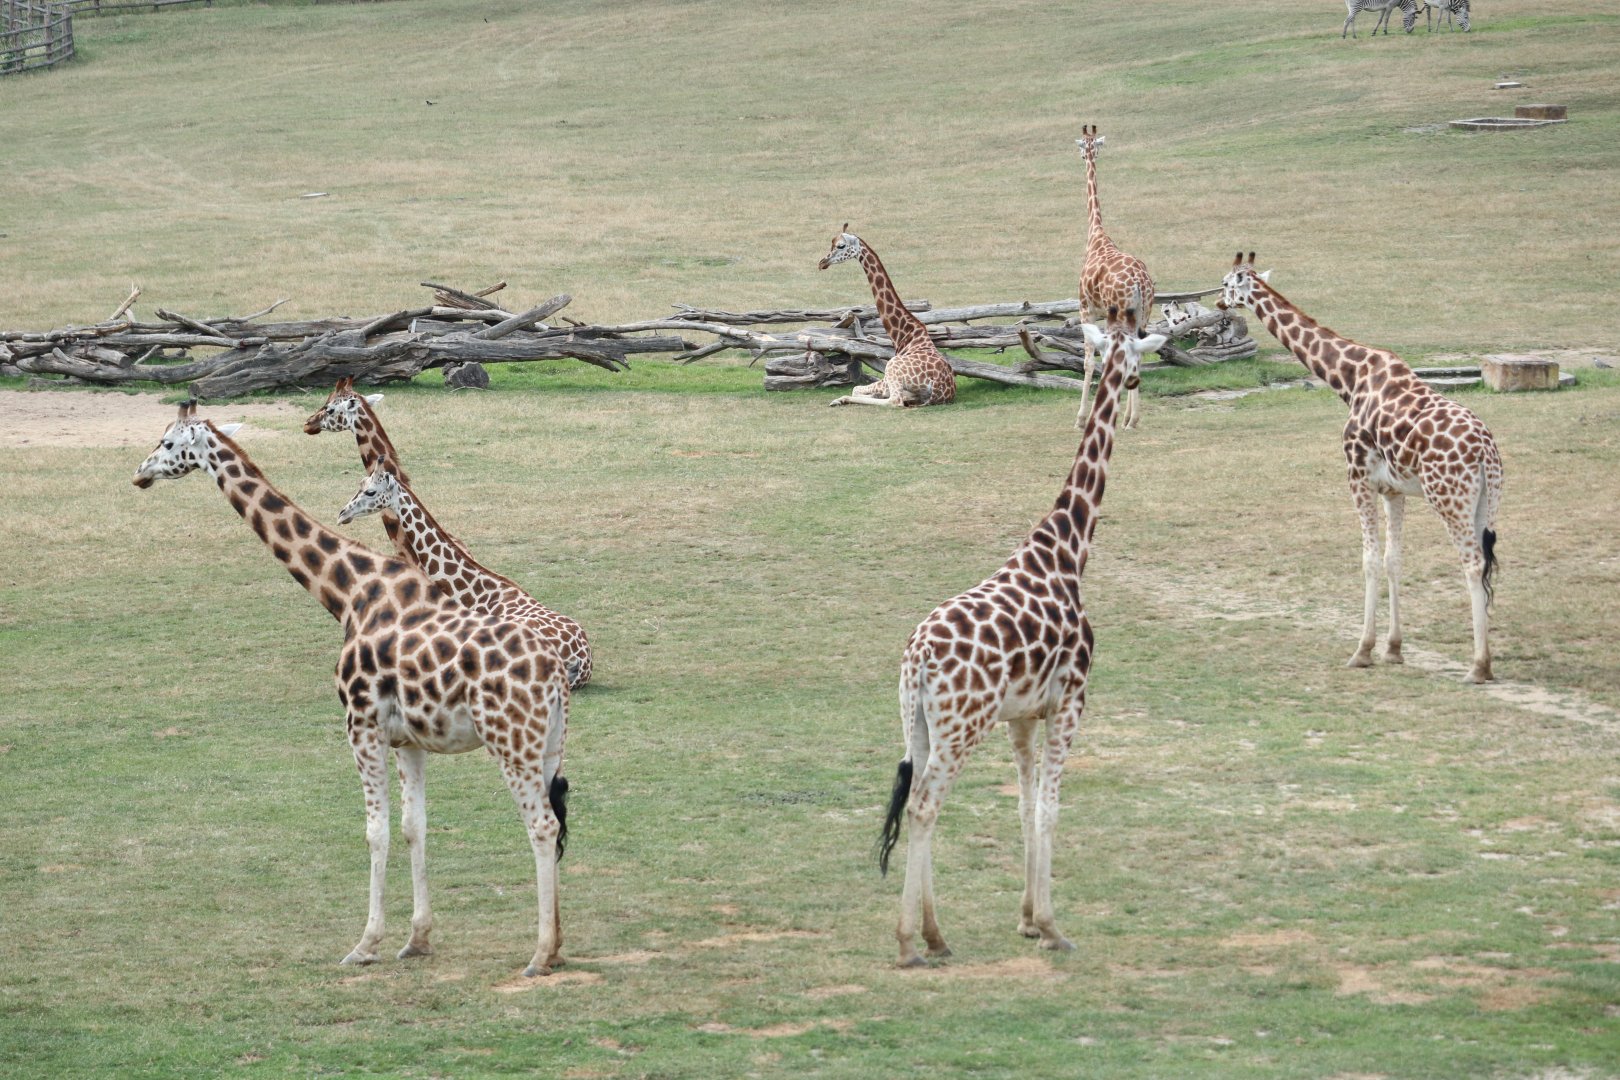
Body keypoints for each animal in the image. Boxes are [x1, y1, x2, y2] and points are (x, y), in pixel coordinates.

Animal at [134, 402, 571, 977]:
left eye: (167, 443)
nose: (138, 474)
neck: (348, 593)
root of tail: (557, 676)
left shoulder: (359, 722)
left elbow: (374, 830)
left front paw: (365, 944)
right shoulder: (408, 738)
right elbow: (413, 826)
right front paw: (417, 939)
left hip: (510, 741)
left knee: (540, 825)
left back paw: (539, 955)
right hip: (548, 746)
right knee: (555, 821)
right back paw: (558, 945)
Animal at [817, 226, 957, 408]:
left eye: (841, 245)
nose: (822, 262)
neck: (904, 336)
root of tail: (939, 389)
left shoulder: (886, 379)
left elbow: (857, 388)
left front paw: (841, 399)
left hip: (892, 367)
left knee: (894, 401)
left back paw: (840, 400)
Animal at [877, 308, 1167, 967]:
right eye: (1134, 352)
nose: (1136, 381)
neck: (1068, 548)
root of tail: (918, 660)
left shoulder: (1022, 716)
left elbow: (1024, 804)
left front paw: (1029, 920)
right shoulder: (1071, 700)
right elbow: (1051, 808)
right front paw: (1053, 926)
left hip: (919, 724)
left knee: (914, 798)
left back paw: (934, 934)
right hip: (961, 726)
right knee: (926, 805)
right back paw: (911, 942)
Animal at [1076, 126, 1157, 432]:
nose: (1084, 154)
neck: (1095, 234)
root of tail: (1140, 282)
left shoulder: (1085, 308)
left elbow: (1090, 360)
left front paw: (1081, 418)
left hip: (1123, 312)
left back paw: (1130, 419)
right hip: (1145, 312)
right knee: (1139, 353)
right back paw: (1130, 418)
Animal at [1217, 253, 1501, 682]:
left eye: (1226, 283)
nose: (1219, 305)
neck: (1349, 379)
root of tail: (1486, 450)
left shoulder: (1357, 476)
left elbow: (1368, 560)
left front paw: (1362, 650)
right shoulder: (1393, 489)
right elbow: (1393, 560)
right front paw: (1393, 649)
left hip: (1449, 498)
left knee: (1471, 564)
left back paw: (1478, 667)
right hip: (1487, 500)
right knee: (1486, 563)